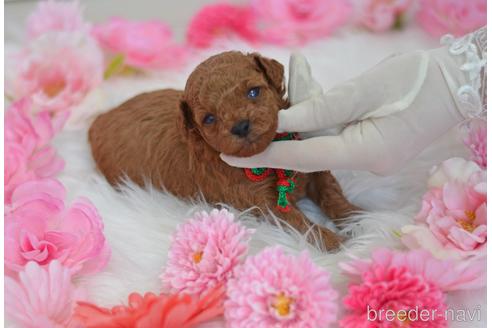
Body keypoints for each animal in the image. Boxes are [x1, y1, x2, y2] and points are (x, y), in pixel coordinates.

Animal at [89, 51, 358, 250]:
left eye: (253, 91)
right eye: (209, 118)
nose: (240, 126)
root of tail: (100, 119)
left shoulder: (313, 169)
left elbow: (332, 193)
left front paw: (359, 219)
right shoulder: (266, 205)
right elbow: (302, 225)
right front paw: (338, 243)